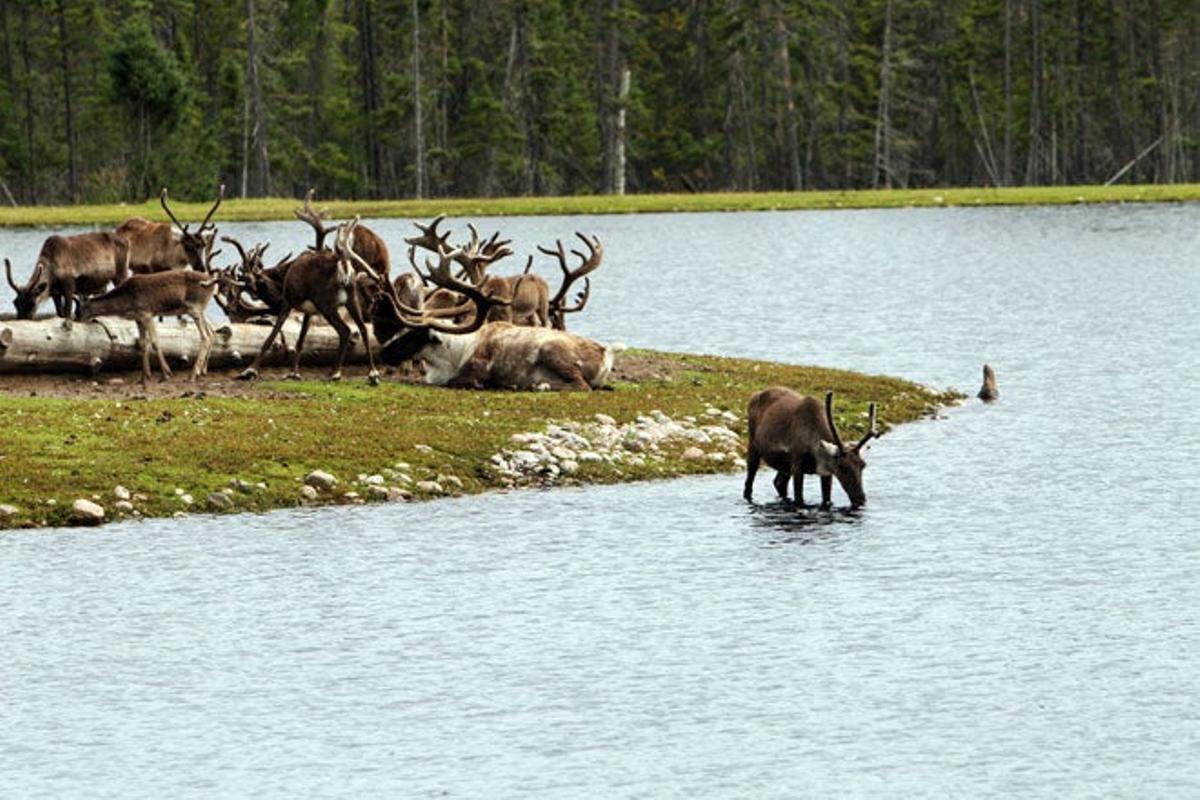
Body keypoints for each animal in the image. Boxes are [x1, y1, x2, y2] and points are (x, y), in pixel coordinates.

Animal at [75, 243, 231, 385]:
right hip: (200, 310)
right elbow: (143, 343)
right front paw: (144, 377)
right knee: (211, 332)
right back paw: (200, 372)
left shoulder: (147, 314)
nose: (77, 320)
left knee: (205, 337)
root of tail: (213, 284)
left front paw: (165, 375)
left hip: (194, 308)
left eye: (79, 310)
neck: (127, 300)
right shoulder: (138, 318)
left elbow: (155, 342)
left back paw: (191, 376)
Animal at [236, 218, 382, 385]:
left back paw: (336, 373)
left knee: (345, 330)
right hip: (351, 300)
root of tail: (343, 265)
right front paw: (293, 373)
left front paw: (249, 370)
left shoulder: (288, 302)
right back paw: (373, 373)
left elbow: (271, 336)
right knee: (363, 328)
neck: (284, 275)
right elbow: (300, 341)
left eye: (261, 286)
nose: (275, 302)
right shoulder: (309, 311)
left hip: (326, 305)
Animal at [365, 245, 624, 391]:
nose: (384, 353)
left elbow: (461, 380)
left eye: (414, 334)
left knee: (580, 385)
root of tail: (606, 353)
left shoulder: (478, 367)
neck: (451, 355)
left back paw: (538, 385)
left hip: (552, 351)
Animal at [743, 389, 879, 510]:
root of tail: (754, 395)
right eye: (841, 466)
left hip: (784, 465)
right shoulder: (797, 466)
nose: (861, 499)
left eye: (863, 465)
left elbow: (827, 499)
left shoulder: (826, 472)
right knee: (749, 481)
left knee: (778, 482)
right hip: (753, 445)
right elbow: (799, 499)